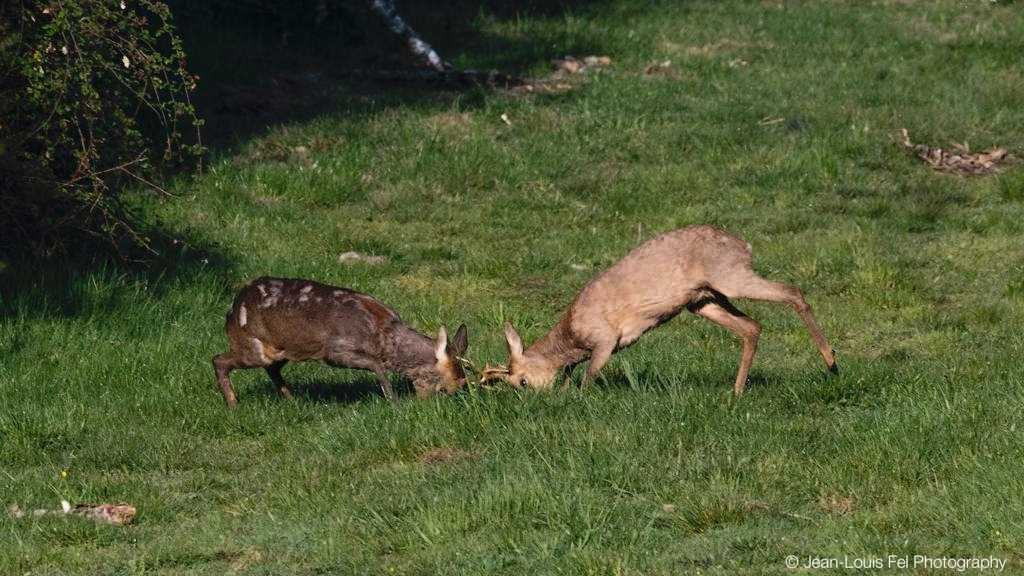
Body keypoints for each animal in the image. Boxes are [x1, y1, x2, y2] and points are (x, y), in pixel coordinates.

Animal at [216, 276, 471, 403]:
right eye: (449, 388)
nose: (427, 406)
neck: (382, 338)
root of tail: (231, 312)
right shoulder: (334, 350)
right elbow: (376, 365)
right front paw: (393, 400)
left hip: (280, 351)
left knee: (272, 369)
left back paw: (292, 399)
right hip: (252, 347)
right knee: (218, 359)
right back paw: (233, 404)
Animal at [483, 226, 835, 391]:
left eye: (522, 381)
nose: (531, 396)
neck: (572, 336)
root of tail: (744, 244)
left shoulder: (605, 339)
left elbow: (589, 376)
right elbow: (571, 375)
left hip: (730, 277)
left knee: (793, 292)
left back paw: (832, 362)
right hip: (702, 301)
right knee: (752, 327)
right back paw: (736, 391)